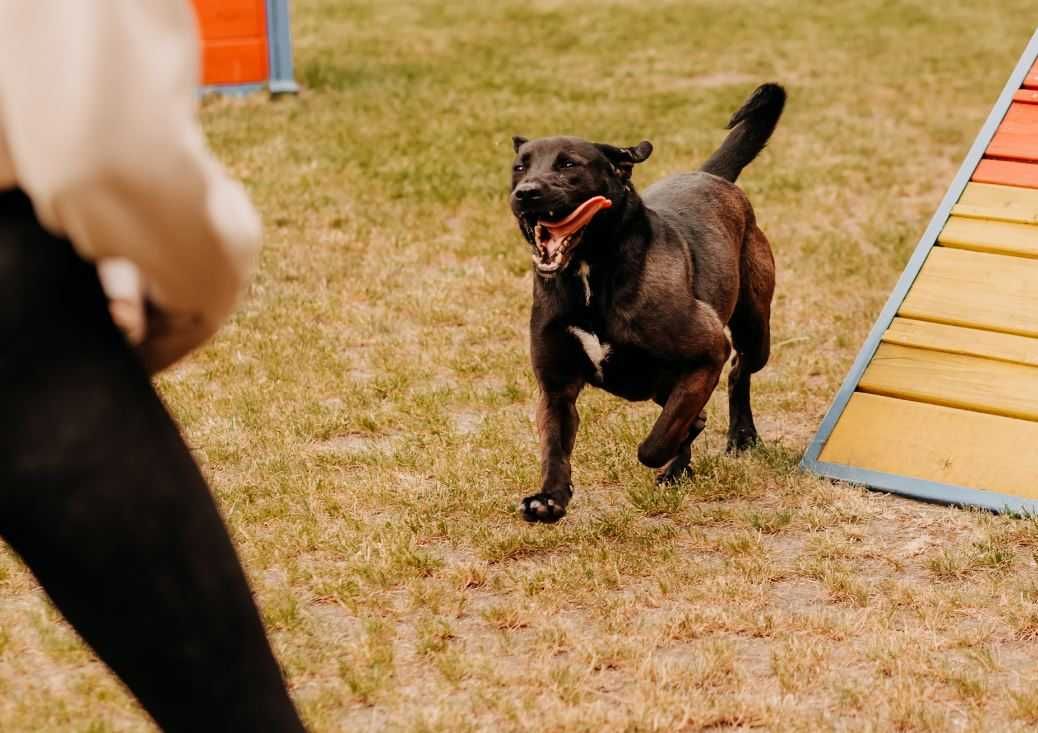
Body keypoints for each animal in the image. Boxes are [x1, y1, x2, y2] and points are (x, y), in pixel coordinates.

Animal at [506, 84, 780, 519]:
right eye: (520, 167)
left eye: (568, 164)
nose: (526, 194)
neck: (590, 275)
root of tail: (712, 176)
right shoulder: (556, 387)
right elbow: (554, 448)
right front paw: (550, 498)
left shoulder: (708, 351)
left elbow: (657, 442)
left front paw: (672, 453)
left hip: (754, 332)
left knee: (738, 371)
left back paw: (739, 436)